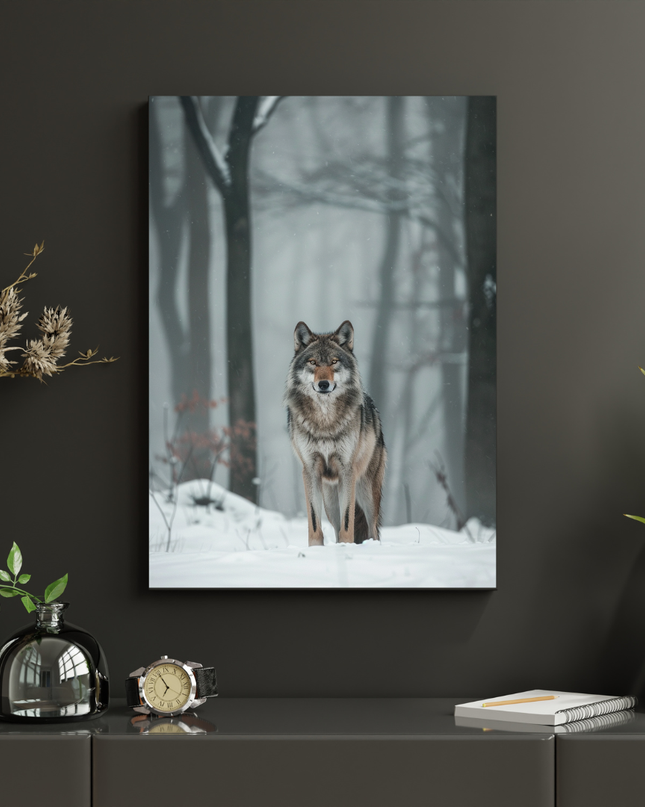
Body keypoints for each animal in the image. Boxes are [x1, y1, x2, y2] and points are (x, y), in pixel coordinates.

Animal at [284, 320, 386, 546]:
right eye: (313, 362)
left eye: (334, 362)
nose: (323, 384)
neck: (325, 420)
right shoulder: (310, 470)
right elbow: (314, 521)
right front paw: (315, 549)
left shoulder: (347, 470)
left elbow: (348, 520)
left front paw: (347, 547)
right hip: (330, 500)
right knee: (337, 525)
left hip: (366, 491)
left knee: (372, 529)